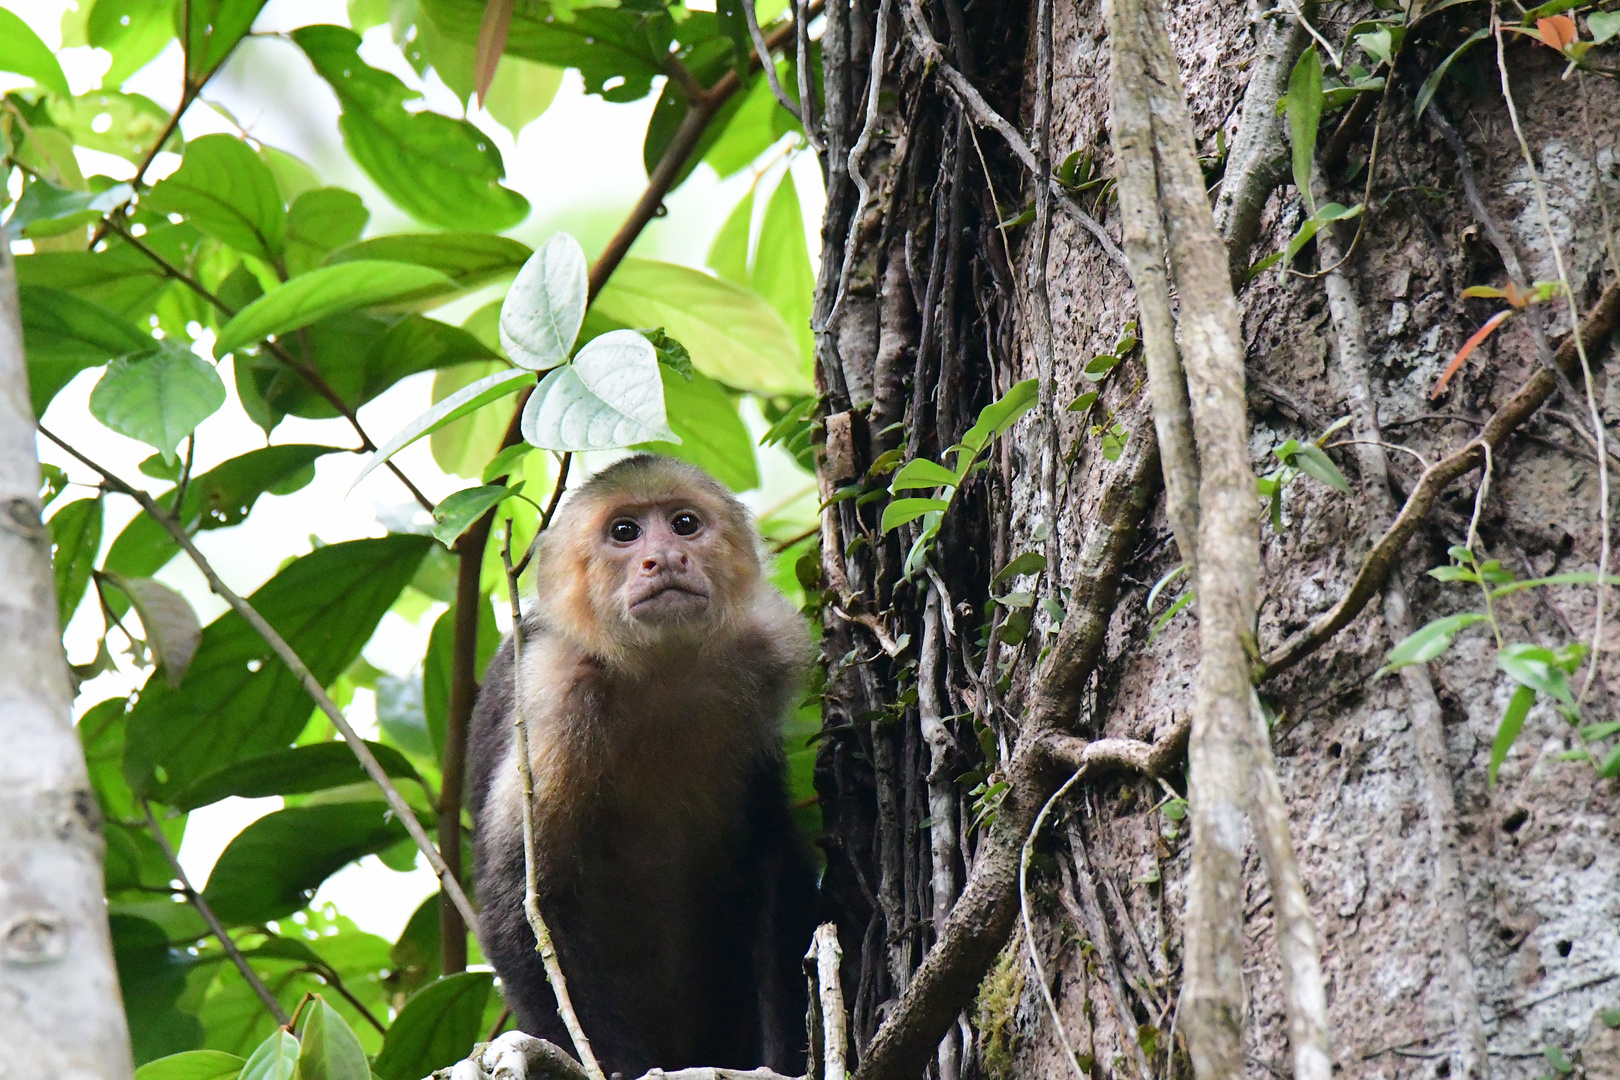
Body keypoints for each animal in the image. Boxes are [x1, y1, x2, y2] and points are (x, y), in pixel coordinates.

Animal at [469, 453, 822, 1075]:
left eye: (684, 524)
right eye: (625, 533)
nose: (664, 559)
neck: (661, 676)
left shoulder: (765, 650)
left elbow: (769, 855)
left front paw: (784, 1059)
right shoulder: (551, 695)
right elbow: (522, 903)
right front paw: (621, 1069)